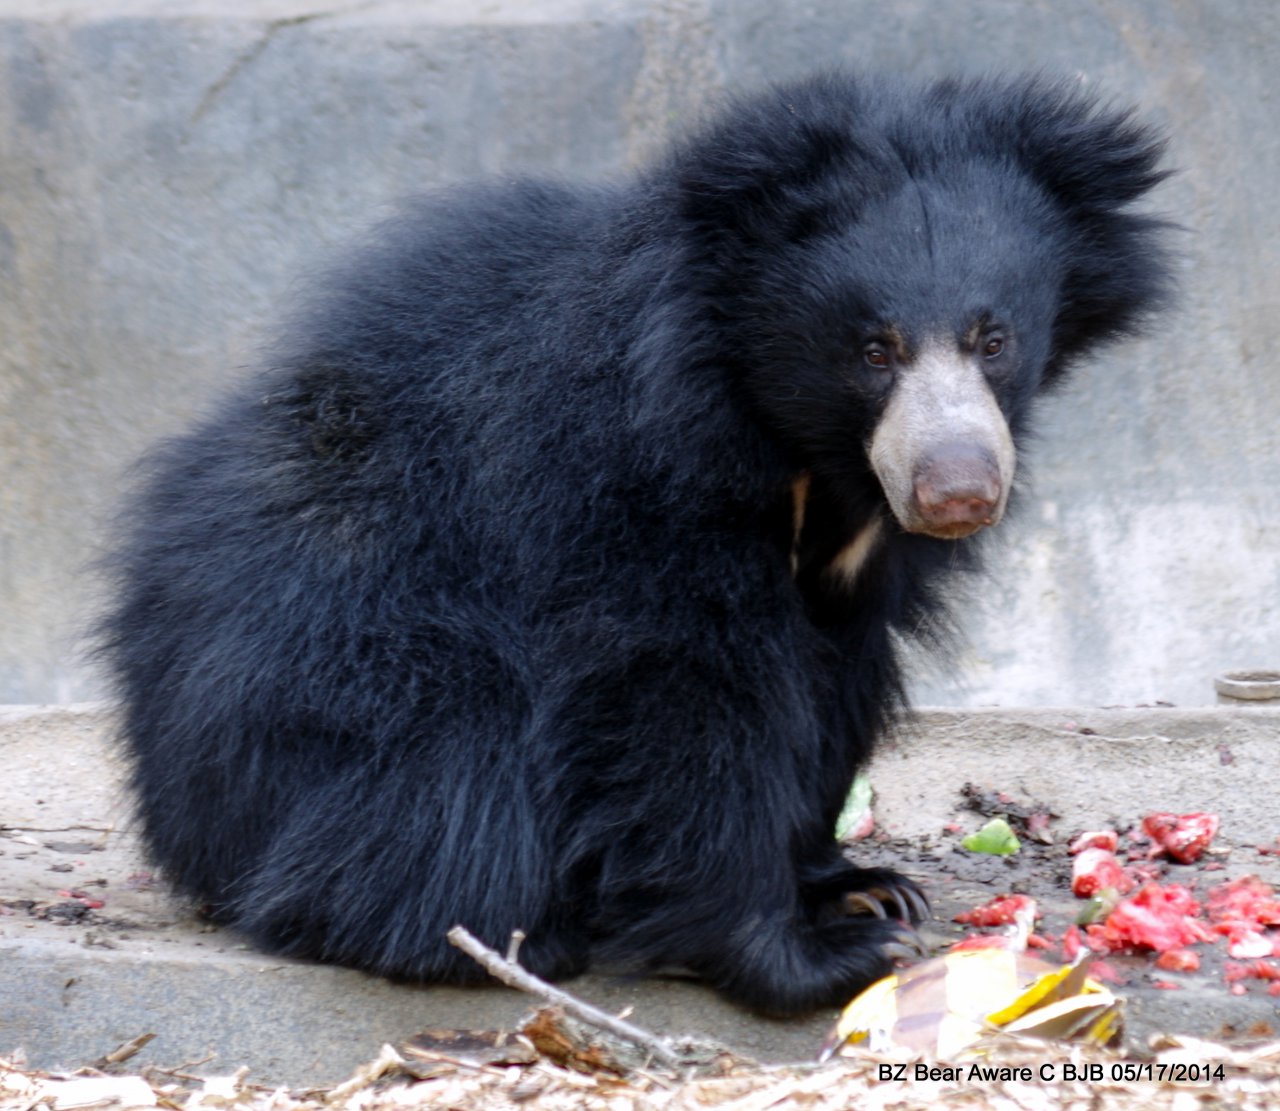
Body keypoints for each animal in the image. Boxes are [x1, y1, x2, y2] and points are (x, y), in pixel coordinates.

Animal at [99, 72, 1171, 1015]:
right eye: (874, 349)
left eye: (994, 340)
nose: (956, 491)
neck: (795, 446)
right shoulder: (620, 476)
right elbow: (678, 693)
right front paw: (808, 953)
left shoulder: (852, 564)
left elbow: (832, 679)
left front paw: (857, 883)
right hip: (318, 669)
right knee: (449, 775)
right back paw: (508, 933)